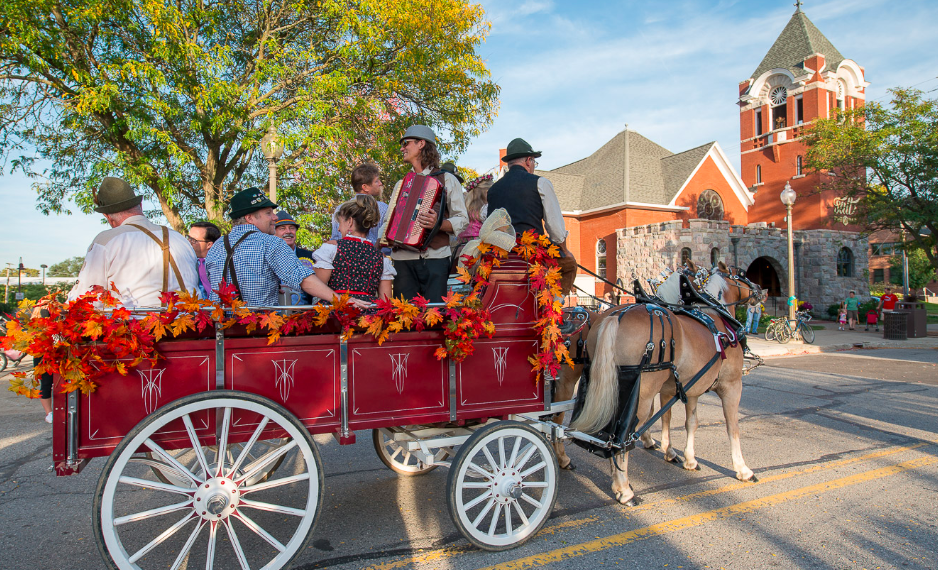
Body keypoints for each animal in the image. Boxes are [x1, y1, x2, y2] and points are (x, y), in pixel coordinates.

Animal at [560, 262, 756, 502]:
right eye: (743, 276)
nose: (760, 291)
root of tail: (615, 316)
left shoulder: (687, 388)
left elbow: (687, 421)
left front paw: (687, 458)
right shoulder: (731, 384)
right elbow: (732, 426)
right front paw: (742, 468)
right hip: (638, 392)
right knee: (621, 437)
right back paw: (624, 489)